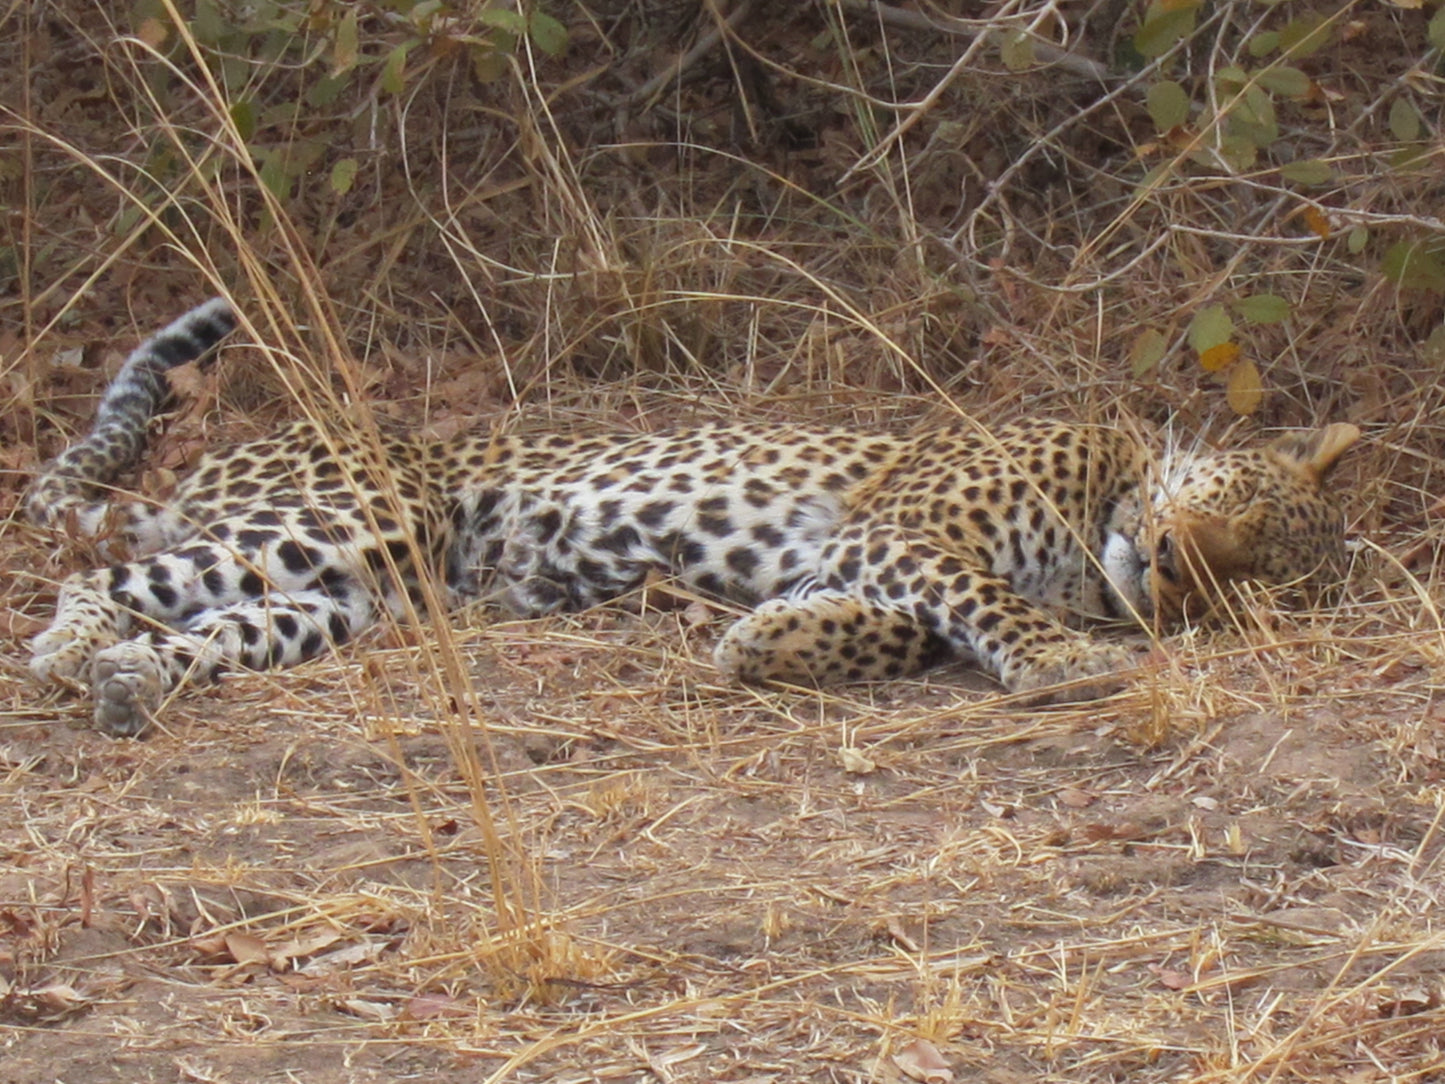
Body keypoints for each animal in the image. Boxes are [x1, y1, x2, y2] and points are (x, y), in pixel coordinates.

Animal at [22, 297, 1358, 740]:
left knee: (206, 630)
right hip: (346, 517)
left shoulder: (857, 558)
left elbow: (892, 626)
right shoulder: (901, 530)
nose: (1177, 570)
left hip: (355, 596)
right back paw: (73, 655)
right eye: (1237, 506)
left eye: (1250, 587)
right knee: (92, 583)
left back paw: (132, 683)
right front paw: (1063, 664)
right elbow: (973, 600)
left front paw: (769, 643)